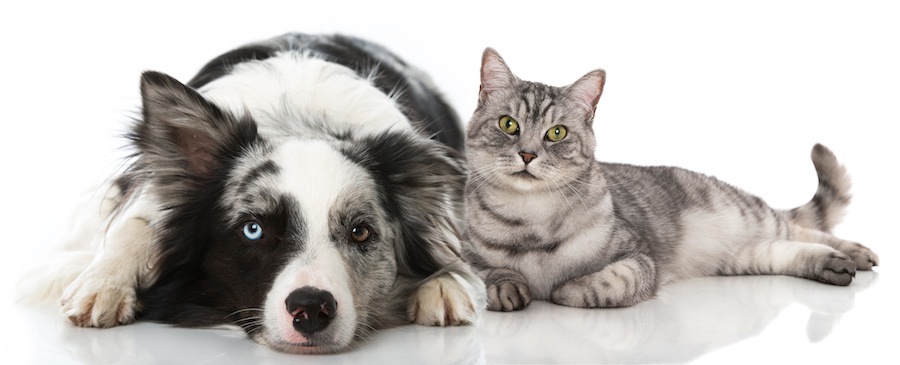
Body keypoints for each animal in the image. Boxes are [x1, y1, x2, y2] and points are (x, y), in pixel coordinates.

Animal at [22, 33, 486, 352]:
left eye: (360, 232)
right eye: (253, 229)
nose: (312, 309)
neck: (297, 120)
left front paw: (446, 283)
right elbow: (136, 225)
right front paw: (104, 282)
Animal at [464, 47, 880, 310]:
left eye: (557, 133)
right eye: (508, 125)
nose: (527, 154)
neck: (531, 218)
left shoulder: (639, 258)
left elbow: (601, 284)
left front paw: (566, 289)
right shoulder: (464, 256)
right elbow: (489, 273)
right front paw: (507, 287)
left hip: (748, 215)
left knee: (799, 227)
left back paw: (856, 254)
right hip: (744, 255)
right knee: (785, 247)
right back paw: (834, 264)